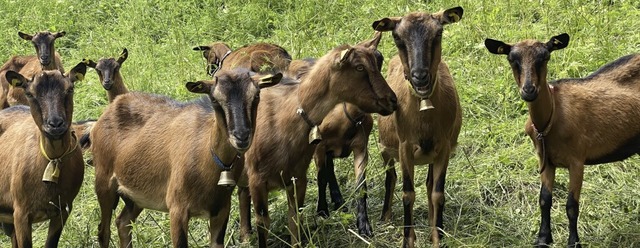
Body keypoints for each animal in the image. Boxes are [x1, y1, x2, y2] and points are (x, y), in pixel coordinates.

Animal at [91, 68, 282, 248]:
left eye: (256, 96)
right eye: (214, 99)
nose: (241, 137)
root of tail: (115, 103)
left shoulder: (220, 210)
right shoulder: (177, 209)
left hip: (135, 197)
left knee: (123, 222)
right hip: (104, 183)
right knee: (103, 232)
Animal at [244, 32, 398, 246]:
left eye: (379, 59)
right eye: (359, 67)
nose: (393, 100)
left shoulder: (361, 147)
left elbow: (361, 186)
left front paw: (364, 226)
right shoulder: (319, 147)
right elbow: (321, 178)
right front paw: (322, 210)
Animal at [370, 6, 464, 247]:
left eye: (439, 33)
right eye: (396, 37)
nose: (420, 77)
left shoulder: (444, 148)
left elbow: (437, 193)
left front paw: (437, 237)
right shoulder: (405, 148)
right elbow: (408, 194)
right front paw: (408, 240)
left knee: (430, 184)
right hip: (386, 149)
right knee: (391, 177)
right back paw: (385, 217)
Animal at [484, 33, 640, 248]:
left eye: (545, 57)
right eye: (511, 59)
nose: (529, 90)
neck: (553, 117)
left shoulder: (577, 161)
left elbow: (571, 206)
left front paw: (574, 242)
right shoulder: (546, 160)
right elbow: (544, 200)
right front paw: (543, 238)